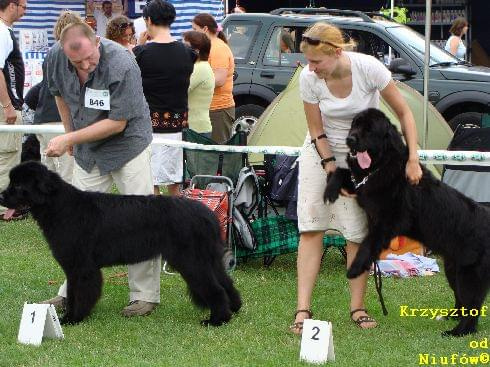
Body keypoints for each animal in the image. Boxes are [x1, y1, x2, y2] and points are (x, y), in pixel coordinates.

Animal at [0, 162, 241, 326]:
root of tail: (206, 213)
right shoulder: (74, 268)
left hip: (191, 262)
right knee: (226, 282)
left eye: (18, 185)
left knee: (216, 289)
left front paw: (72, 318)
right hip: (207, 259)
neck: (59, 207)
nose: (1, 196)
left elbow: (79, 294)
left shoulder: (82, 267)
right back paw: (234, 309)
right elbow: (72, 292)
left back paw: (216, 320)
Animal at [326, 107, 490, 336]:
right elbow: (341, 172)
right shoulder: (363, 188)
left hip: (470, 273)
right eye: (355, 125)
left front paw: (355, 268)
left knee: (472, 305)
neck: (382, 165)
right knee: (462, 300)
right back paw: (451, 316)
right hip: (453, 269)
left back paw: (458, 331)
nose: (350, 139)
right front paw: (330, 190)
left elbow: (369, 243)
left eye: (369, 130)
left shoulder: (389, 220)